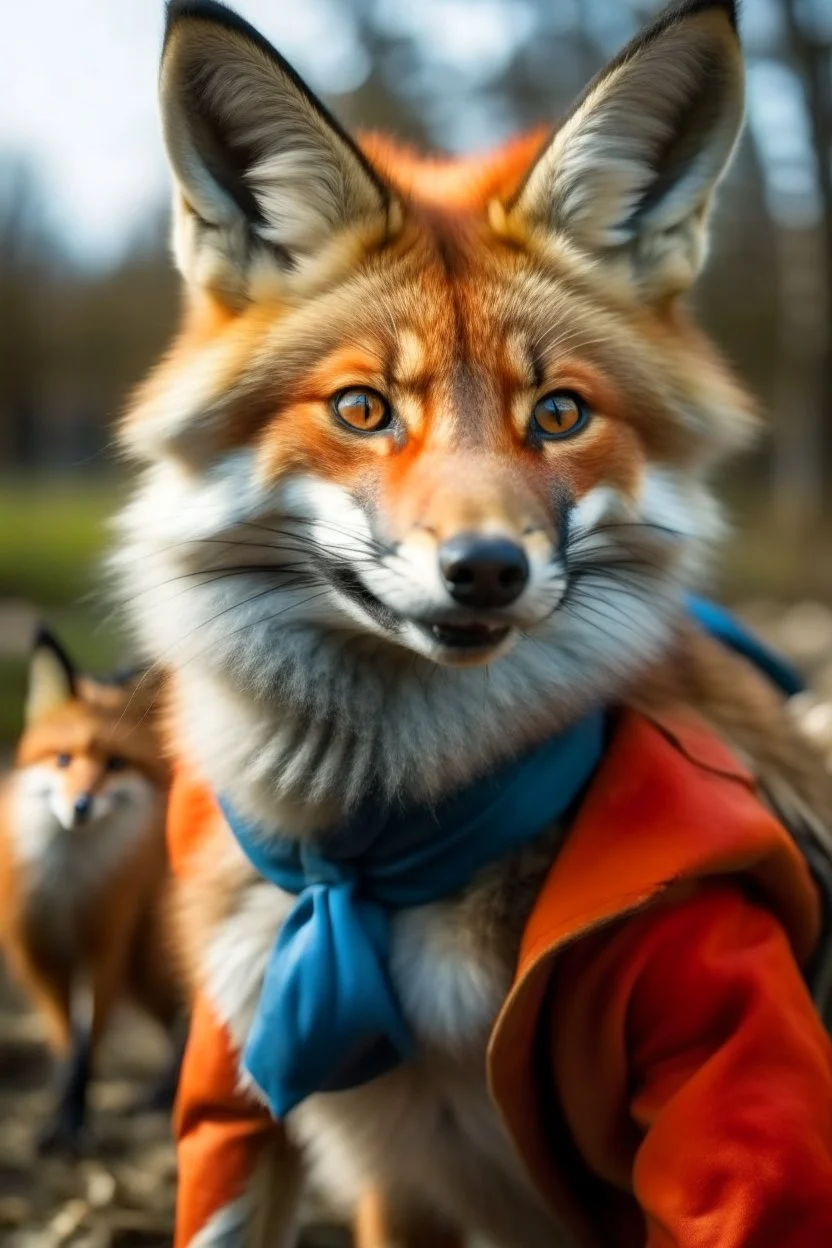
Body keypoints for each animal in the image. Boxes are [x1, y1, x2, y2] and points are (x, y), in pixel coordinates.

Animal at [0, 628, 184, 1153]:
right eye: (63, 759)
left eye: (115, 765)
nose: (80, 806)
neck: (66, 889)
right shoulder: (37, 956)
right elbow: (66, 1043)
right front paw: (59, 1115)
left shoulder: (104, 949)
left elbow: (88, 1048)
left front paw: (73, 1121)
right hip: (141, 974)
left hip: (147, 960)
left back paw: (166, 1094)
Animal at [115, 1, 832, 1245]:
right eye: (363, 409)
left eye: (558, 414)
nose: (487, 570)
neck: (373, 855)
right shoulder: (302, 1128)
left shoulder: (722, 1062)